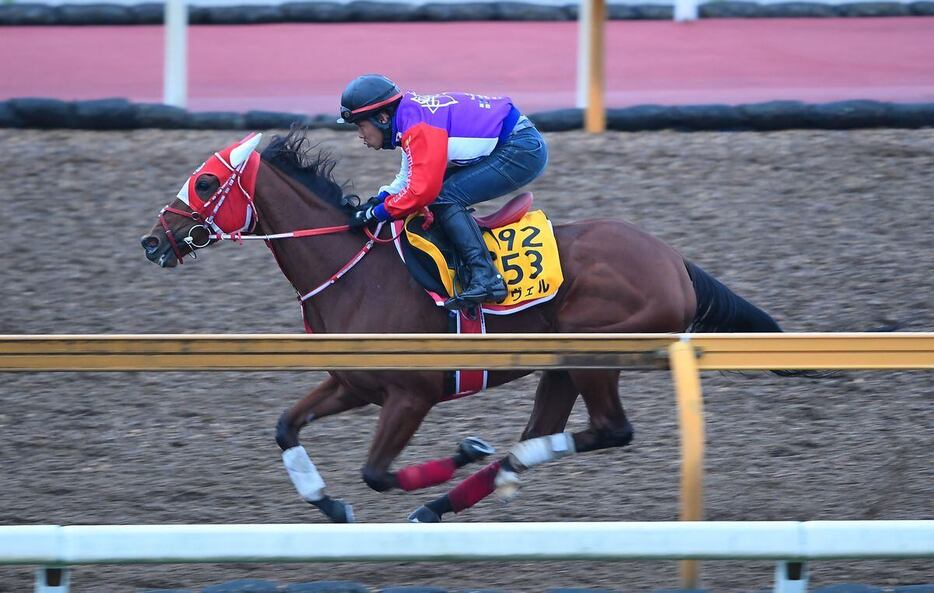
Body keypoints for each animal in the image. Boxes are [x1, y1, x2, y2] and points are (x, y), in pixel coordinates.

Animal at [141, 130, 788, 524]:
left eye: (205, 183)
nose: (152, 242)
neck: (355, 271)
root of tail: (673, 260)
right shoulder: (353, 384)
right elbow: (285, 428)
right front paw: (330, 506)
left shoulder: (411, 394)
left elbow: (377, 473)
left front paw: (457, 452)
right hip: (560, 363)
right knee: (544, 435)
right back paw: (456, 496)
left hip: (594, 353)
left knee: (609, 431)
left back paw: (463, 482)